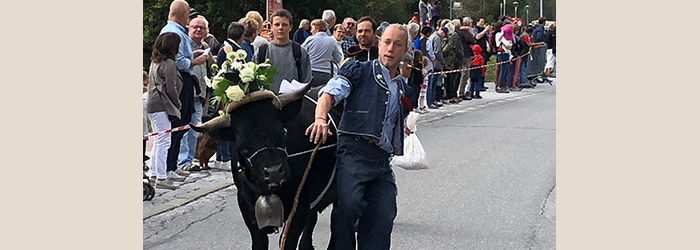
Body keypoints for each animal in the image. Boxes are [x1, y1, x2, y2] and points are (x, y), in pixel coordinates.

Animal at [194, 85, 342, 249]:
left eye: (283, 133)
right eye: (242, 147)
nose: (274, 172)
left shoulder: (300, 206)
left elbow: (288, 241)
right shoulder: (247, 207)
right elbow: (259, 242)